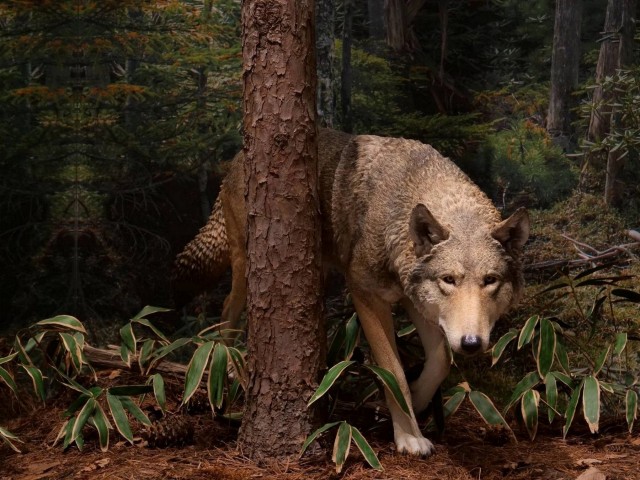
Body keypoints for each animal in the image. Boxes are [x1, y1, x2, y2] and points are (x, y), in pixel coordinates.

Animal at [174, 128, 529, 456]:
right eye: (449, 280)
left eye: (490, 280)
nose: (471, 343)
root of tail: (237, 156)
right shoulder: (365, 294)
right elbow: (393, 371)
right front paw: (408, 435)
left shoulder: (417, 303)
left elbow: (440, 361)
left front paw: (415, 401)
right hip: (246, 267)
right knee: (226, 309)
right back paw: (231, 366)